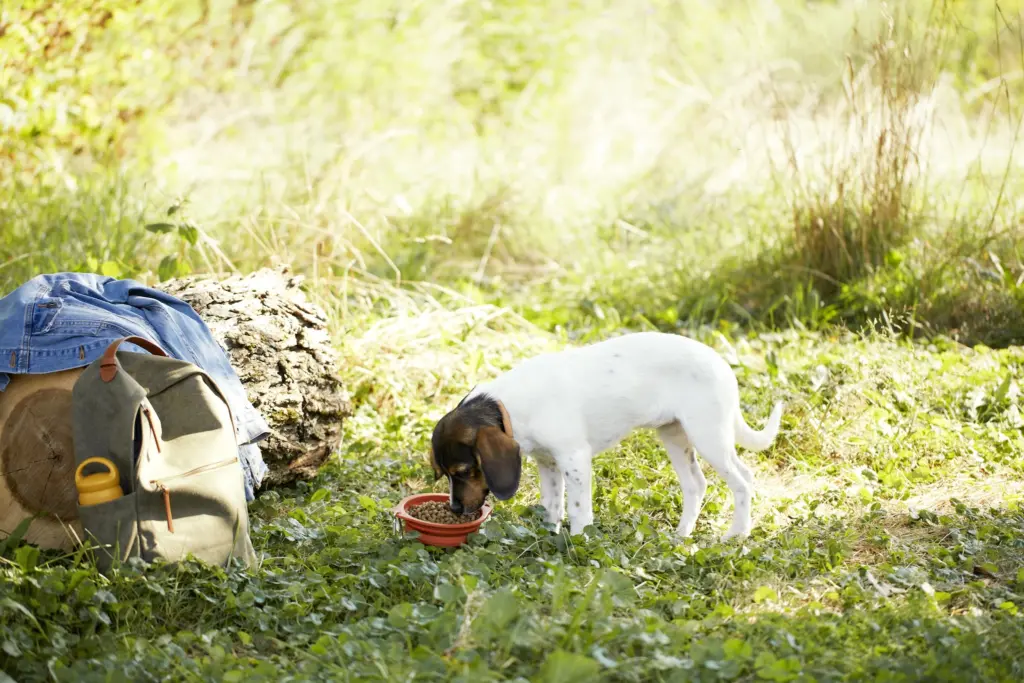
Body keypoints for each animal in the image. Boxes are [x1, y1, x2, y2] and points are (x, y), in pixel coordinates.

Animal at [430, 331, 782, 540]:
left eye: (463, 471)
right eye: (442, 474)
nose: (454, 510)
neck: (510, 406)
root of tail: (722, 364)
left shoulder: (574, 459)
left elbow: (577, 509)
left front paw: (579, 540)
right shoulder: (549, 464)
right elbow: (551, 505)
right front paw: (550, 534)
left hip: (709, 435)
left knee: (743, 481)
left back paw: (737, 534)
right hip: (674, 435)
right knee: (696, 484)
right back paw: (682, 535)